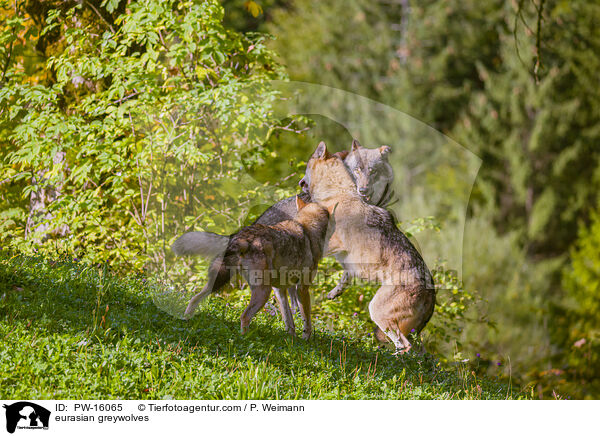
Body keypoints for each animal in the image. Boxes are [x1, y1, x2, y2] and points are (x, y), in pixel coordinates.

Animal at [179, 196, 328, 338]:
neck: (306, 228)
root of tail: (240, 237)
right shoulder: (302, 288)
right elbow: (307, 321)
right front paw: (306, 340)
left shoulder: (280, 289)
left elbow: (289, 321)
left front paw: (291, 340)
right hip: (263, 292)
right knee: (244, 316)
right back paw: (245, 339)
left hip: (217, 283)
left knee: (194, 299)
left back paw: (186, 321)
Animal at [302, 141, 434, 352]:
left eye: (306, 166)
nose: (300, 183)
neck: (339, 193)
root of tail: (432, 290)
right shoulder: (349, 263)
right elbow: (345, 276)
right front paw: (335, 292)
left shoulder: (331, 243)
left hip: (377, 312)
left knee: (405, 347)